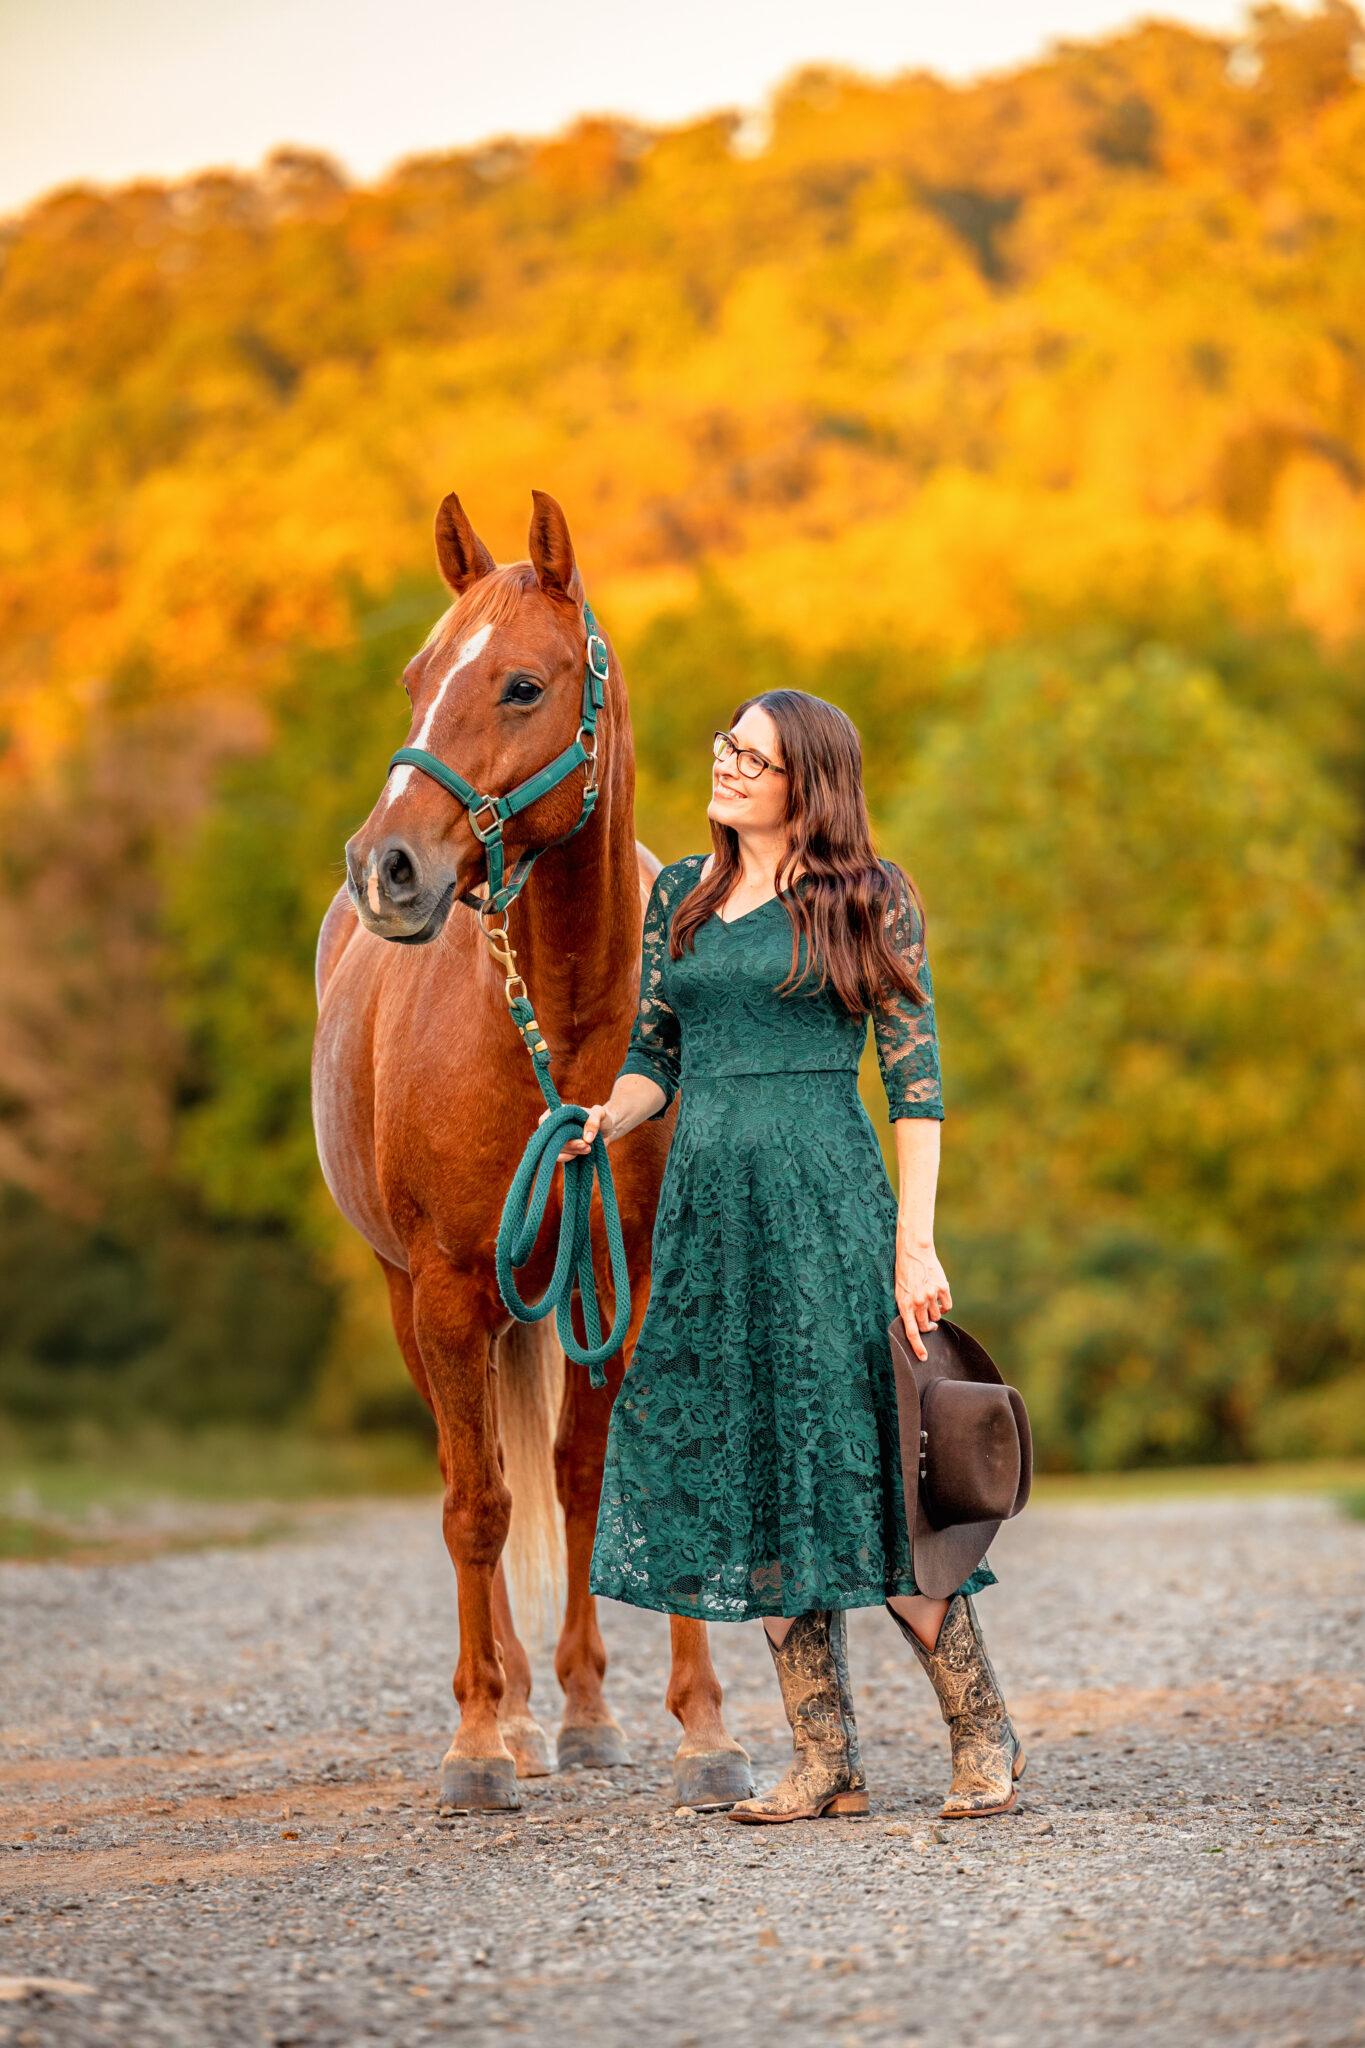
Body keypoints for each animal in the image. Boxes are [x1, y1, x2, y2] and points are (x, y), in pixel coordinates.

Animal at [311, 488, 753, 1813]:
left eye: (520, 684)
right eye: (416, 679)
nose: (388, 866)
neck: (560, 1017)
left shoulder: (632, 1279)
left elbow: (604, 1477)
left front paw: (698, 1729)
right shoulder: (454, 1289)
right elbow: (477, 1506)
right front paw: (475, 1743)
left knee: (557, 1472)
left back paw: (580, 1710)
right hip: (414, 1303)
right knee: (476, 1488)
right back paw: (504, 1714)